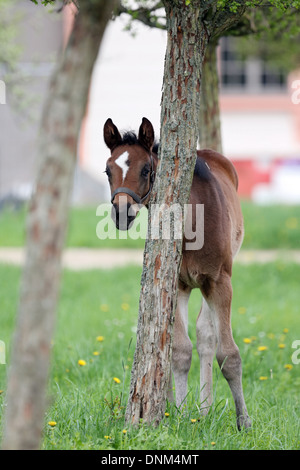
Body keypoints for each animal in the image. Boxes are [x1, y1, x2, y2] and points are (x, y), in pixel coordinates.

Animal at [103, 116, 251, 430]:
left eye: (146, 169)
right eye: (108, 170)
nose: (122, 213)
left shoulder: (220, 281)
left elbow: (229, 355)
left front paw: (244, 421)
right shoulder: (177, 284)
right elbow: (180, 351)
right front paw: (181, 414)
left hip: (211, 283)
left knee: (208, 336)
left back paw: (206, 408)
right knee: (198, 338)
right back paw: (200, 409)